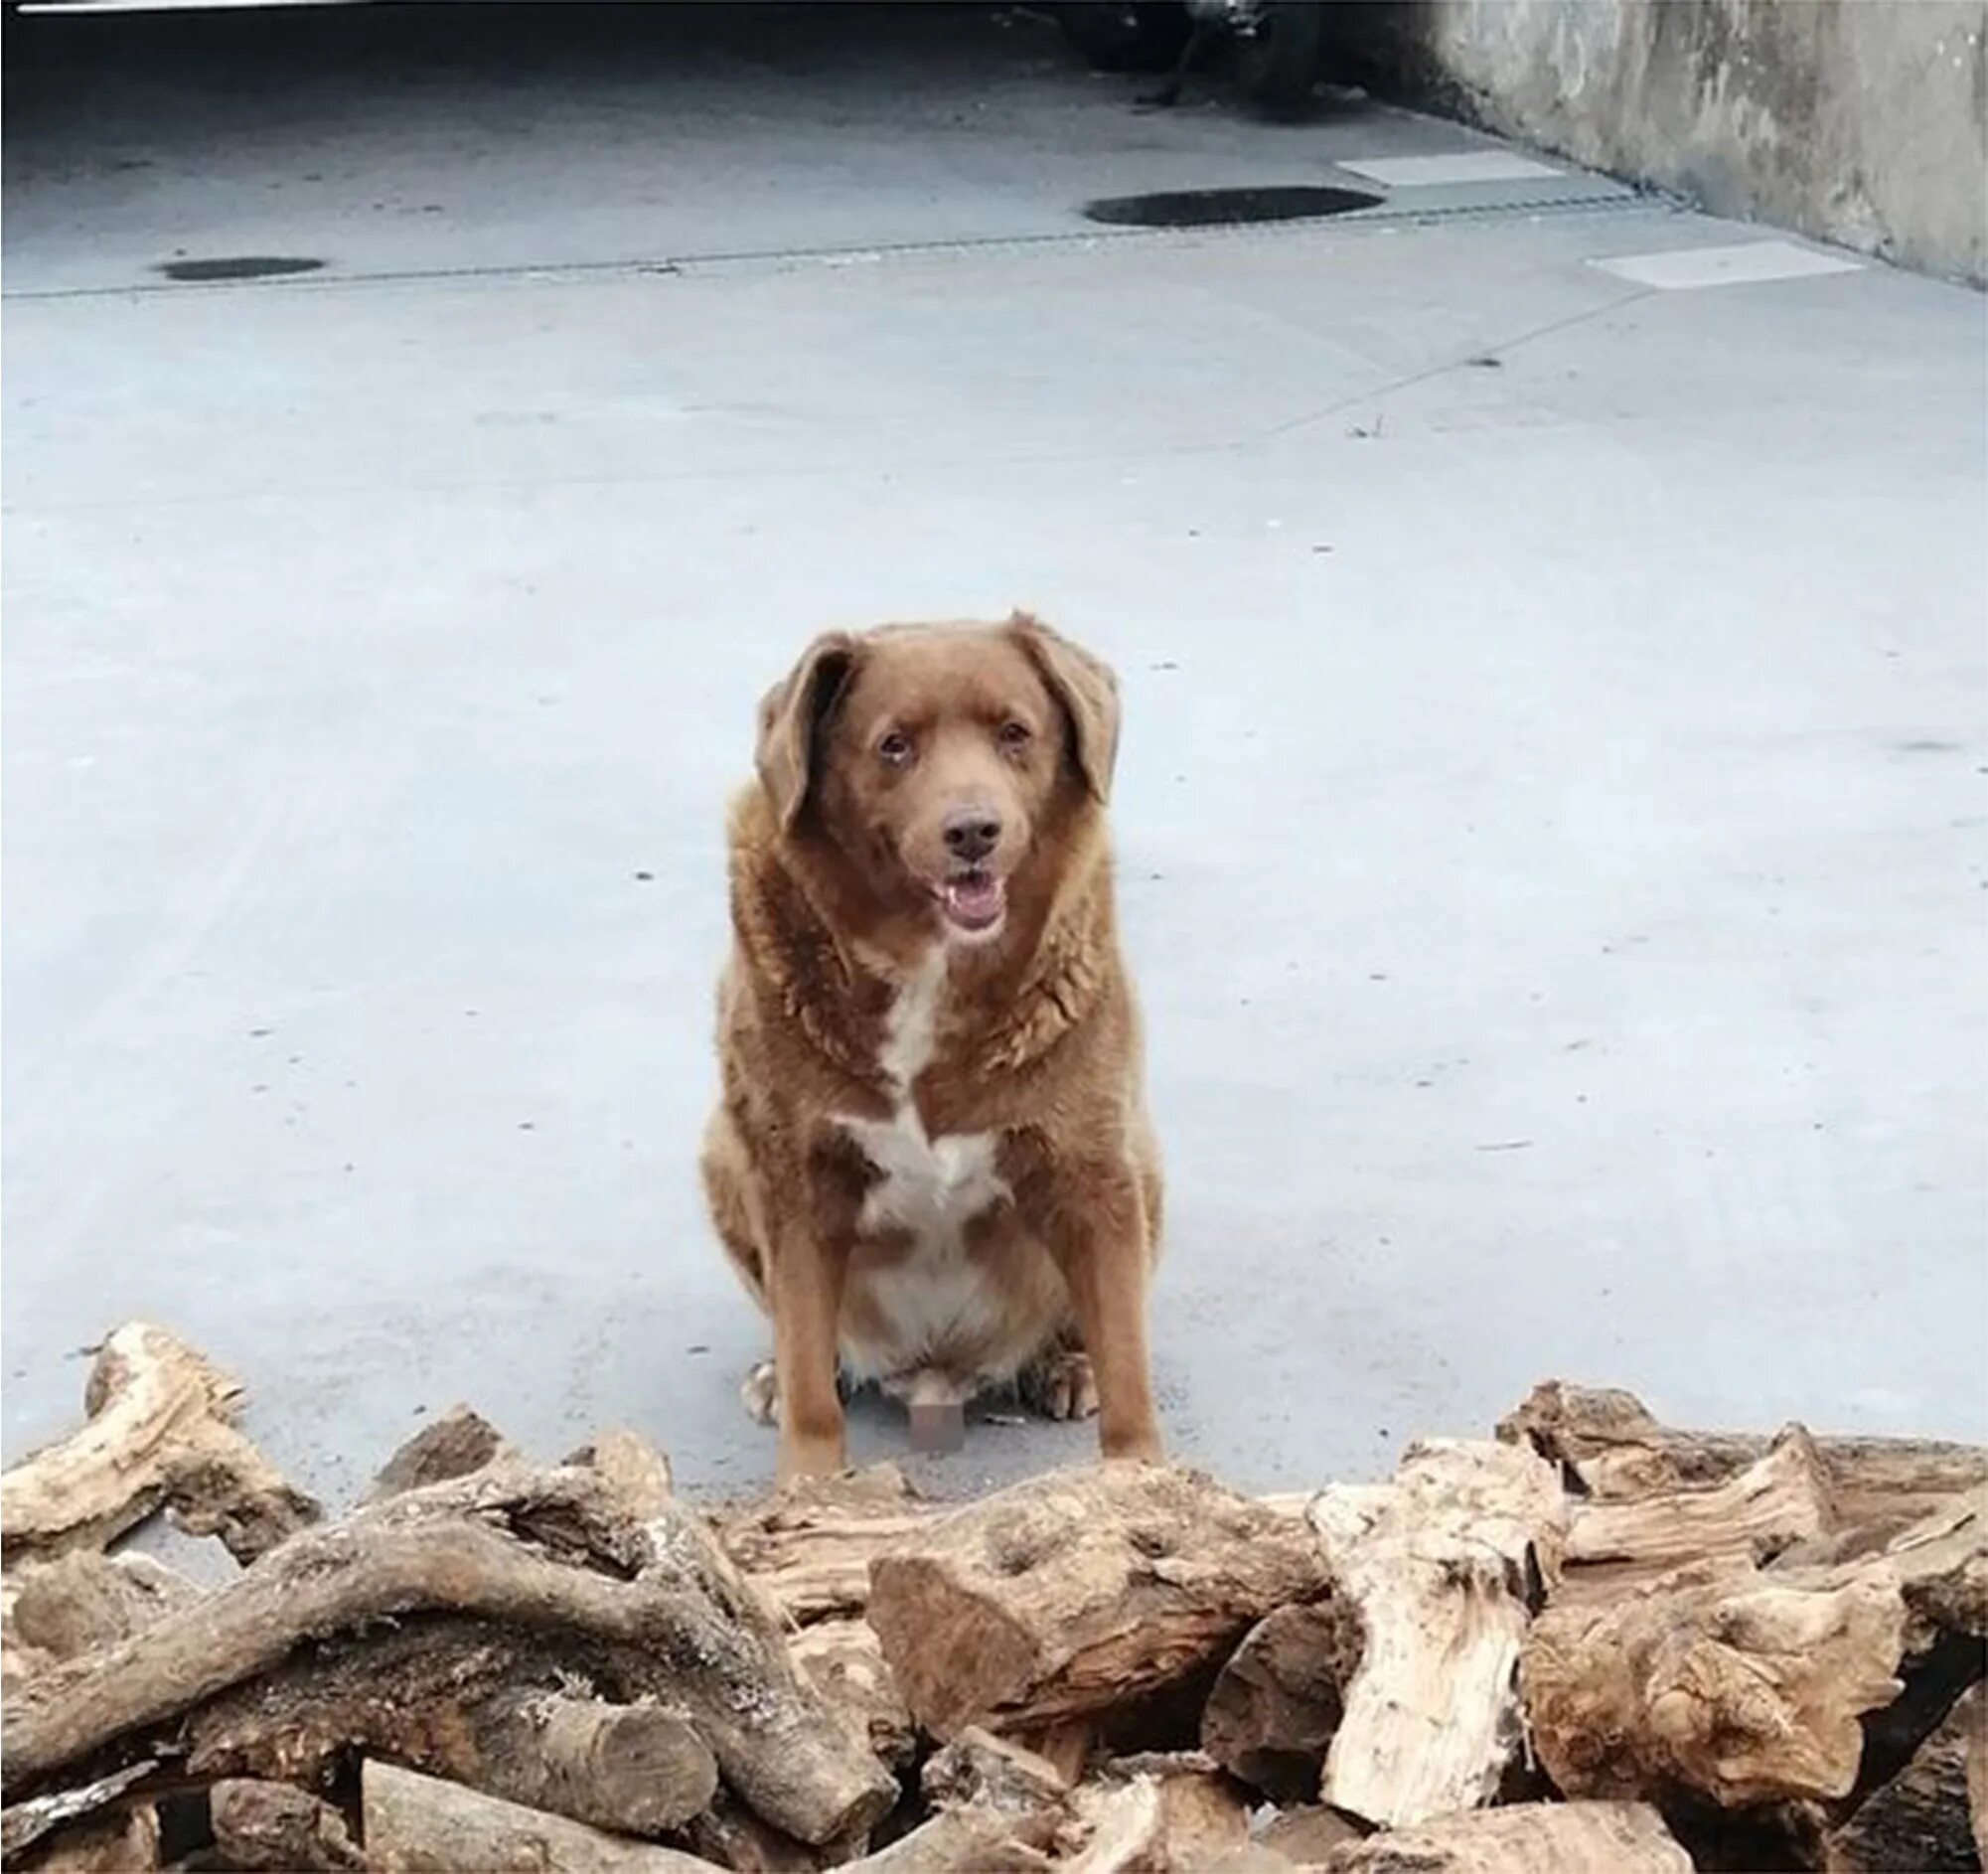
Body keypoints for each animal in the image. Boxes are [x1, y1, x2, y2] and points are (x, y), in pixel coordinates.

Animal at [703, 616, 1160, 1479]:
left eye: (1015, 733)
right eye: (894, 746)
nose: (973, 831)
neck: (929, 966)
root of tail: (935, 1370)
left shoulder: (1091, 1168)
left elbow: (1128, 1367)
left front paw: (1142, 1479)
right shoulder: (795, 1177)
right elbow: (809, 1374)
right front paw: (809, 1483)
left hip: (1144, 1165)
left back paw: (1064, 1364)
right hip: (722, 1149)